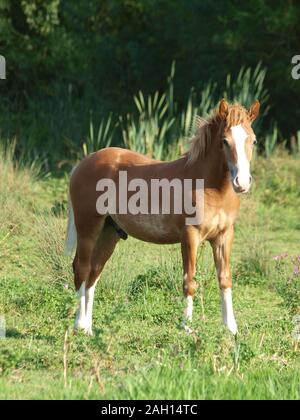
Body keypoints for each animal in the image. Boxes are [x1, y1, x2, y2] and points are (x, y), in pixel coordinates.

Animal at [65, 98, 260, 334]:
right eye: (225, 141)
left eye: (253, 141)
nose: (242, 182)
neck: (210, 187)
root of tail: (82, 164)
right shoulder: (190, 236)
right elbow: (189, 280)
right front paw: (187, 328)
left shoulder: (224, 236)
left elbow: (225, 279)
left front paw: (231, 329)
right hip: (88, 229)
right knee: (81, 269)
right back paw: (79, 326)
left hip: (109, 233)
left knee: (94, 274)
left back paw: (88, 329)